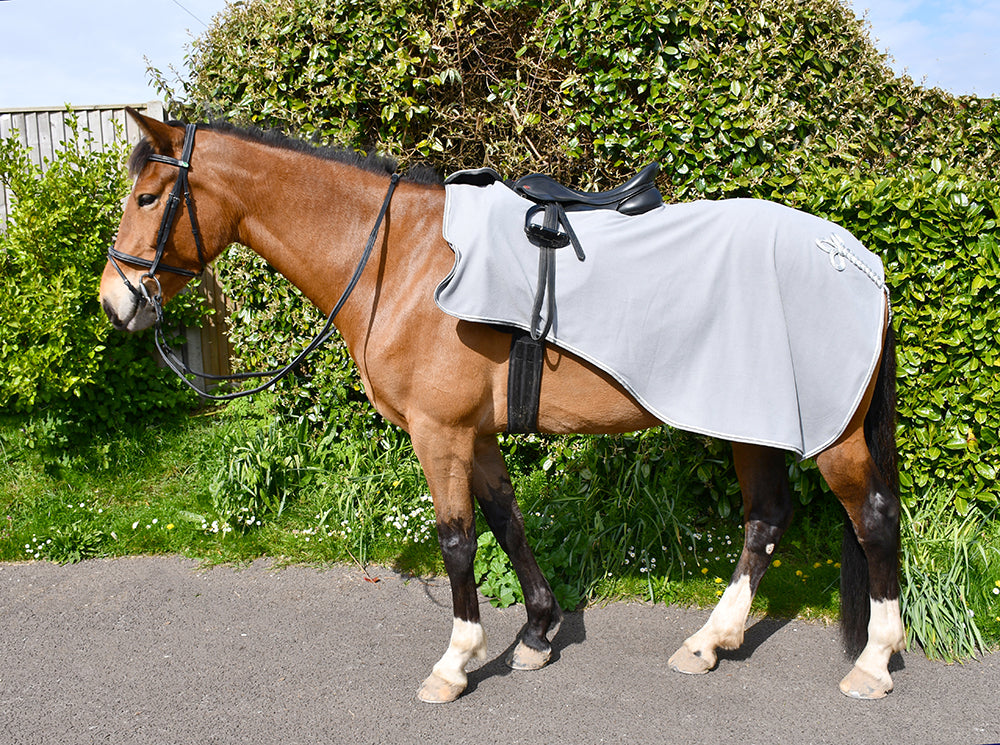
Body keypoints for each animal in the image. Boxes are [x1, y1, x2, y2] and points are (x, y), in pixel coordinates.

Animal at [99, 109, 903, 703]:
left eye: (147, 199)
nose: (116, 301)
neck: (404, 257)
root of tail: (861, 261)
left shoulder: (439, 432)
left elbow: (458, 539)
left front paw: (457, 662)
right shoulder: (475, 433)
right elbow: (507, 523)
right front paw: (540, 634)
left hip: (829, 437)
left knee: (871, 519)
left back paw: (873, 660)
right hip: (752, 424)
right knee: (766, 519)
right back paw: (709, 642)